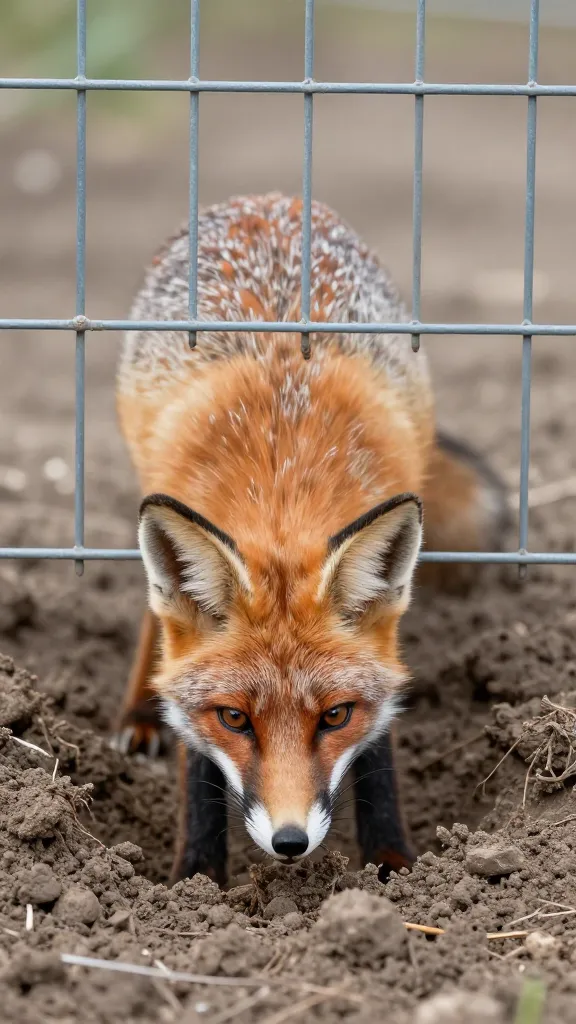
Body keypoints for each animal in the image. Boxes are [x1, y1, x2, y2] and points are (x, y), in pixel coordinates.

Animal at [115, 193, 508, 886]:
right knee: (155, 617)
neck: (282, 476)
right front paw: (196, 880)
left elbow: (380, 743)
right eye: (234, 719)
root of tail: (269, 199)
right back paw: (141, 712)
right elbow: (196, 761)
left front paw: (392, 863)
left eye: (335, 717)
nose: (290, 842)